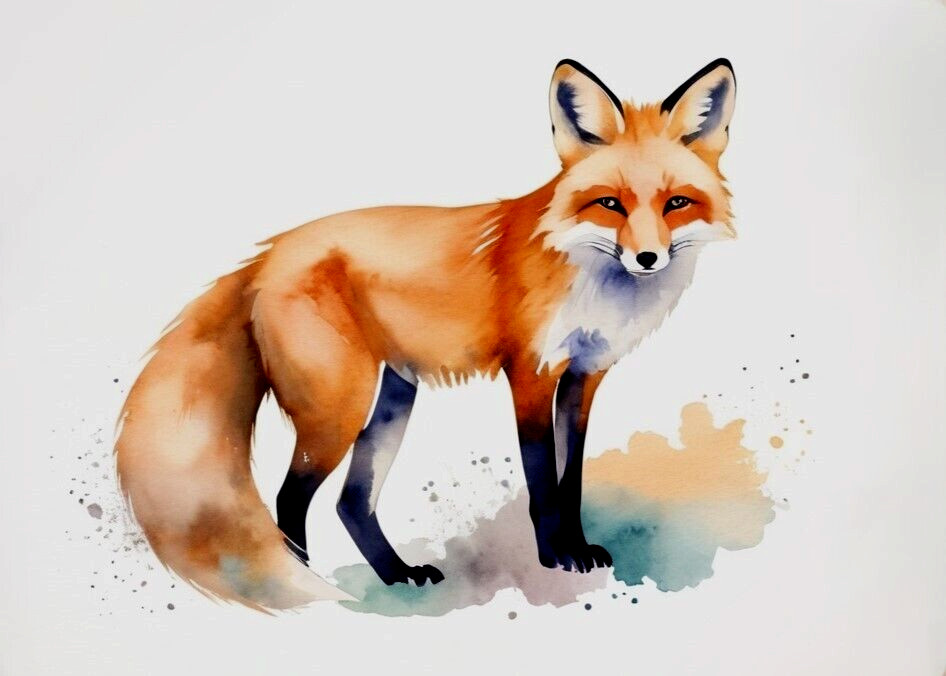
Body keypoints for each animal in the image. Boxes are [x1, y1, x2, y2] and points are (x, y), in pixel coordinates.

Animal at [115, 58, 737, 610]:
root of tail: (267, 255)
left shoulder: (584, 377)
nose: (648, 258)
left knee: (351, 503)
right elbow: (543, 487)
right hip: (339, 408)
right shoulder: (530, 375)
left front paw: (578, 548)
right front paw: (554, 558)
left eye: (676, 203)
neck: (587, 274)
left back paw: (397, 575)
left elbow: (572, 482)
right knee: (289, 500)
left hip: (393, 397)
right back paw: (307, 588)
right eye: (610, 203)